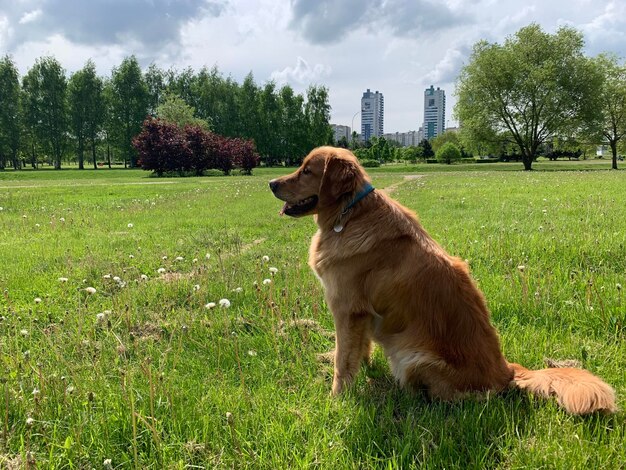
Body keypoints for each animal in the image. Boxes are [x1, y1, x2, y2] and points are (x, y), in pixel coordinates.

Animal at [268, 147, 616, 414]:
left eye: (307, 170)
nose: (271, 182)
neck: (350, 213)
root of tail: (506, 370)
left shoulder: (347, 308)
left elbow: (343, 360)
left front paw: (338, 398)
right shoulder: (361, 314)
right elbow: (358, 350)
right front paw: (363, 372)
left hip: (414, 358)